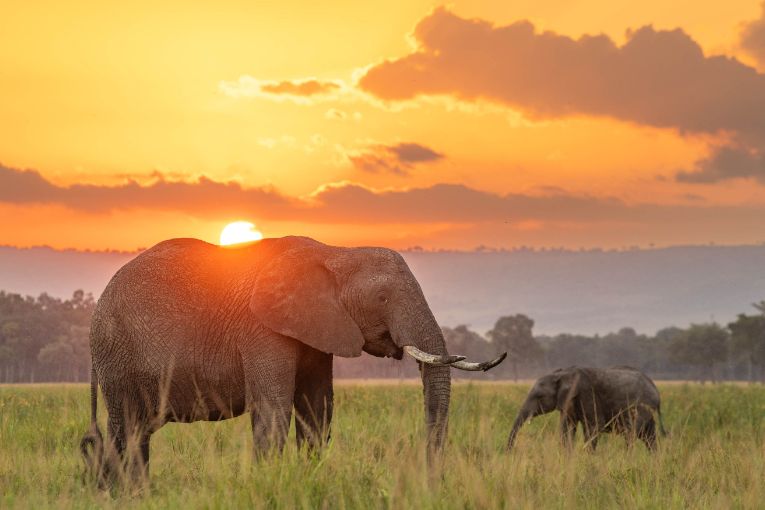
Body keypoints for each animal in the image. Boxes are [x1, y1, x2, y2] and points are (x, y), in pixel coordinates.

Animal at [80, 235, 508, 482]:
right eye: (383, 298)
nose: (430, 478)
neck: (336, 255)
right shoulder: (262, 330)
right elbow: (274, 407)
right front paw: (269, 484)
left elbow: (317, 408)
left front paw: (308, 479)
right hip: (117, 353)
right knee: (127, 429)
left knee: (135, 432)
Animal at [508, 366, 664, 450]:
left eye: (539, 396)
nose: (510, 452)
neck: (562, 374)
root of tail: (656, 389)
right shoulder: (568, 402)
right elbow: (566, 428)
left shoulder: (587, 393)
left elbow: (595, 426)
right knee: (649, 438)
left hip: (642, 407)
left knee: (631, 435)